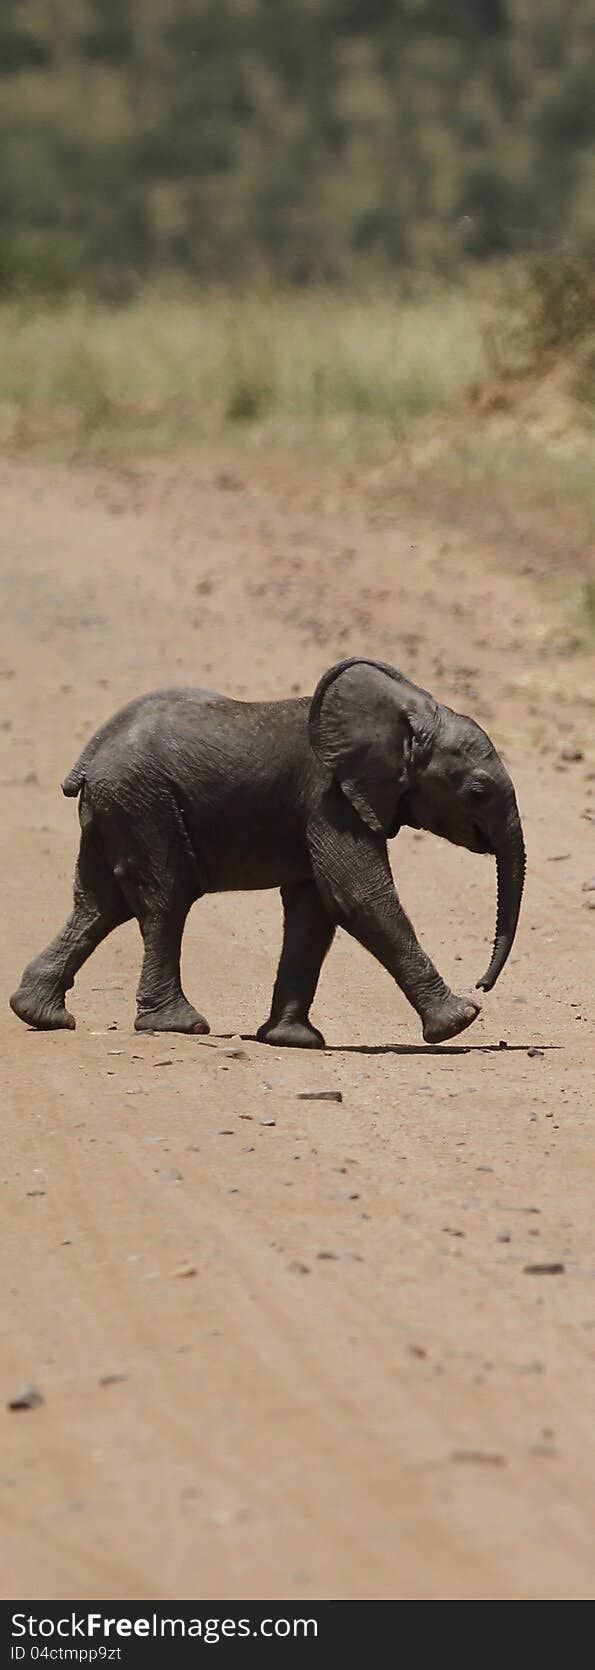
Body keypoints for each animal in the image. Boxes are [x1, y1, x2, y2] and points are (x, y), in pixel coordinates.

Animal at [10, 651, 524, 1042]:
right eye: (477, 792)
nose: (483, 984)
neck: (399, 720)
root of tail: (89, 757)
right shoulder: (329, 798)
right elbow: (359, 897)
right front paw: (458, 1022)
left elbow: (314, 911)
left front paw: (292, 1040)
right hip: (144, 803)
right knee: (164, 898)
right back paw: (178, 1025)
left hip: (118, 806)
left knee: (98, 904)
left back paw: (40, 1014)